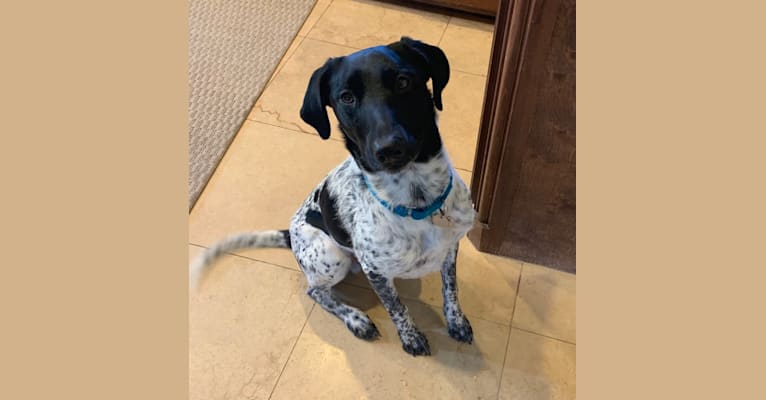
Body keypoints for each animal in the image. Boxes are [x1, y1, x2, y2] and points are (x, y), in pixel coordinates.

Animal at [192, 37, 476, 356]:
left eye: (403, 81)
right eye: (346, 98)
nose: (389, 149)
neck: (418, 202)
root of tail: (289, 233)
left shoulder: (451, 248)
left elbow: (450, 289)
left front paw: (456, 321)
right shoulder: (375, 271)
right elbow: (397, 308)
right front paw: (410, 336)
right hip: (332, 255)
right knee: (315, 290)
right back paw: (356, 318)